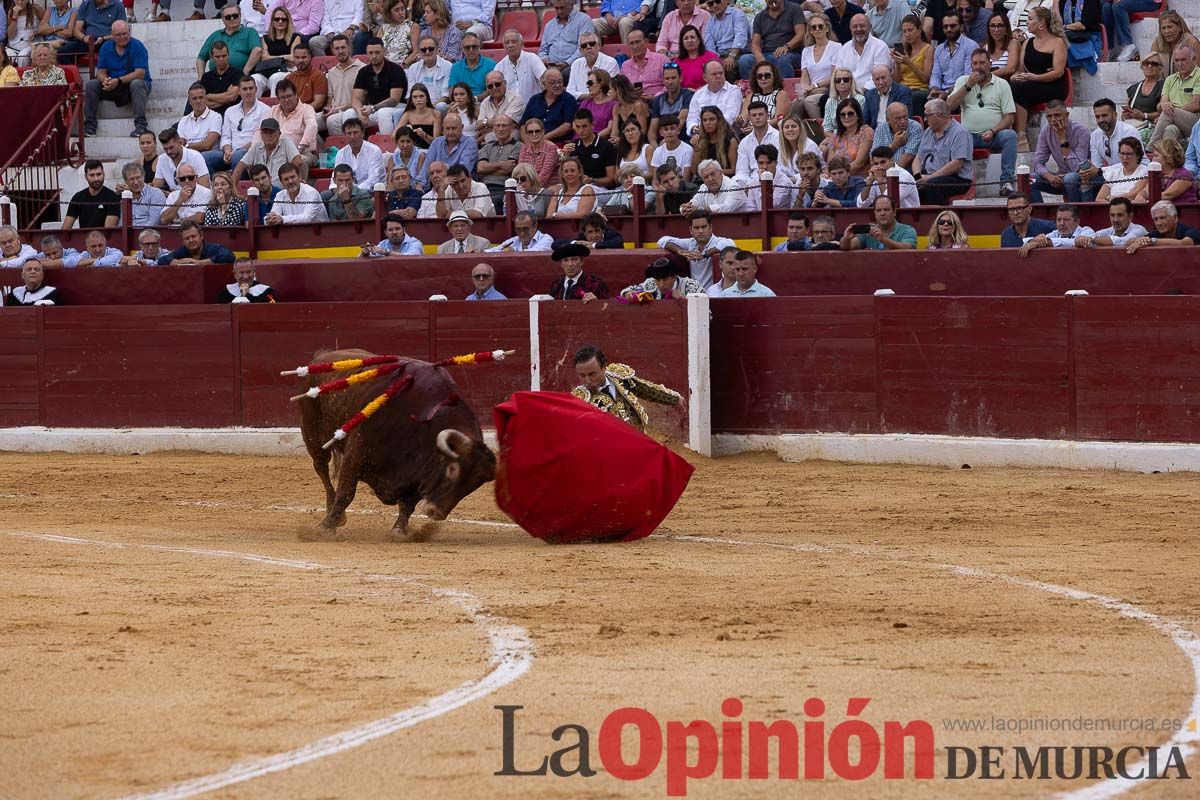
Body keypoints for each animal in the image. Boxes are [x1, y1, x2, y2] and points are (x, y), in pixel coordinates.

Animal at [297, 347, 499, 542]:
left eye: (474, 485)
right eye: (452, 469)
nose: (436, 512)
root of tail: (322, 356)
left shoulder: (419, 473)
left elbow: (408, 504)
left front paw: (399, 530)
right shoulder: (356, 453)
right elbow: (346, 493)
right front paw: (326, 527)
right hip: (313, 436)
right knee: (322, 469)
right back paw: (334, 514)